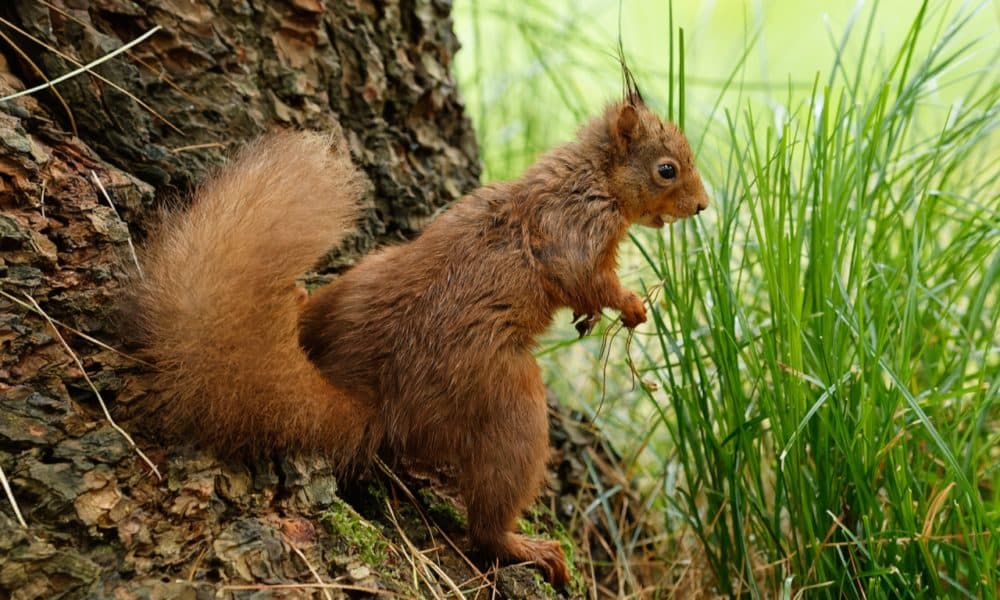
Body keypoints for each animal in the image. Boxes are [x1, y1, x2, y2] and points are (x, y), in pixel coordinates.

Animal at [129, 94, 712, 584]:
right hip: (506, 401)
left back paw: (296, 303)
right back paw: (523, 547)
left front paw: (592, 318)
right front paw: (631, 306)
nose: (704, 206)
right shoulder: (574, 229)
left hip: (360, 280)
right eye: (667, 169)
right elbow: (586, 277)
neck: (588, 176)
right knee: (487, 523)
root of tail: (379, 402)